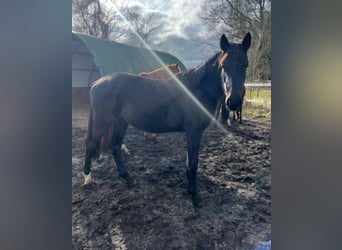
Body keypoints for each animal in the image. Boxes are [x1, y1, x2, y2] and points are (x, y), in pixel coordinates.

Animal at [83, 32, 251, 206]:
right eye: (224, 65)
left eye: (245, 65)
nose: (234, 102)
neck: (198, 91)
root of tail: (97, 82)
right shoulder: (194, 131)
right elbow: (194, 163)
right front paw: (195, 196)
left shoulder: (192, 133)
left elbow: (189, 161)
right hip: (103, 123)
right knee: (91, 145)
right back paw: (87, 178)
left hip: (121, 122)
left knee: (115, 146)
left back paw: (128, 179)